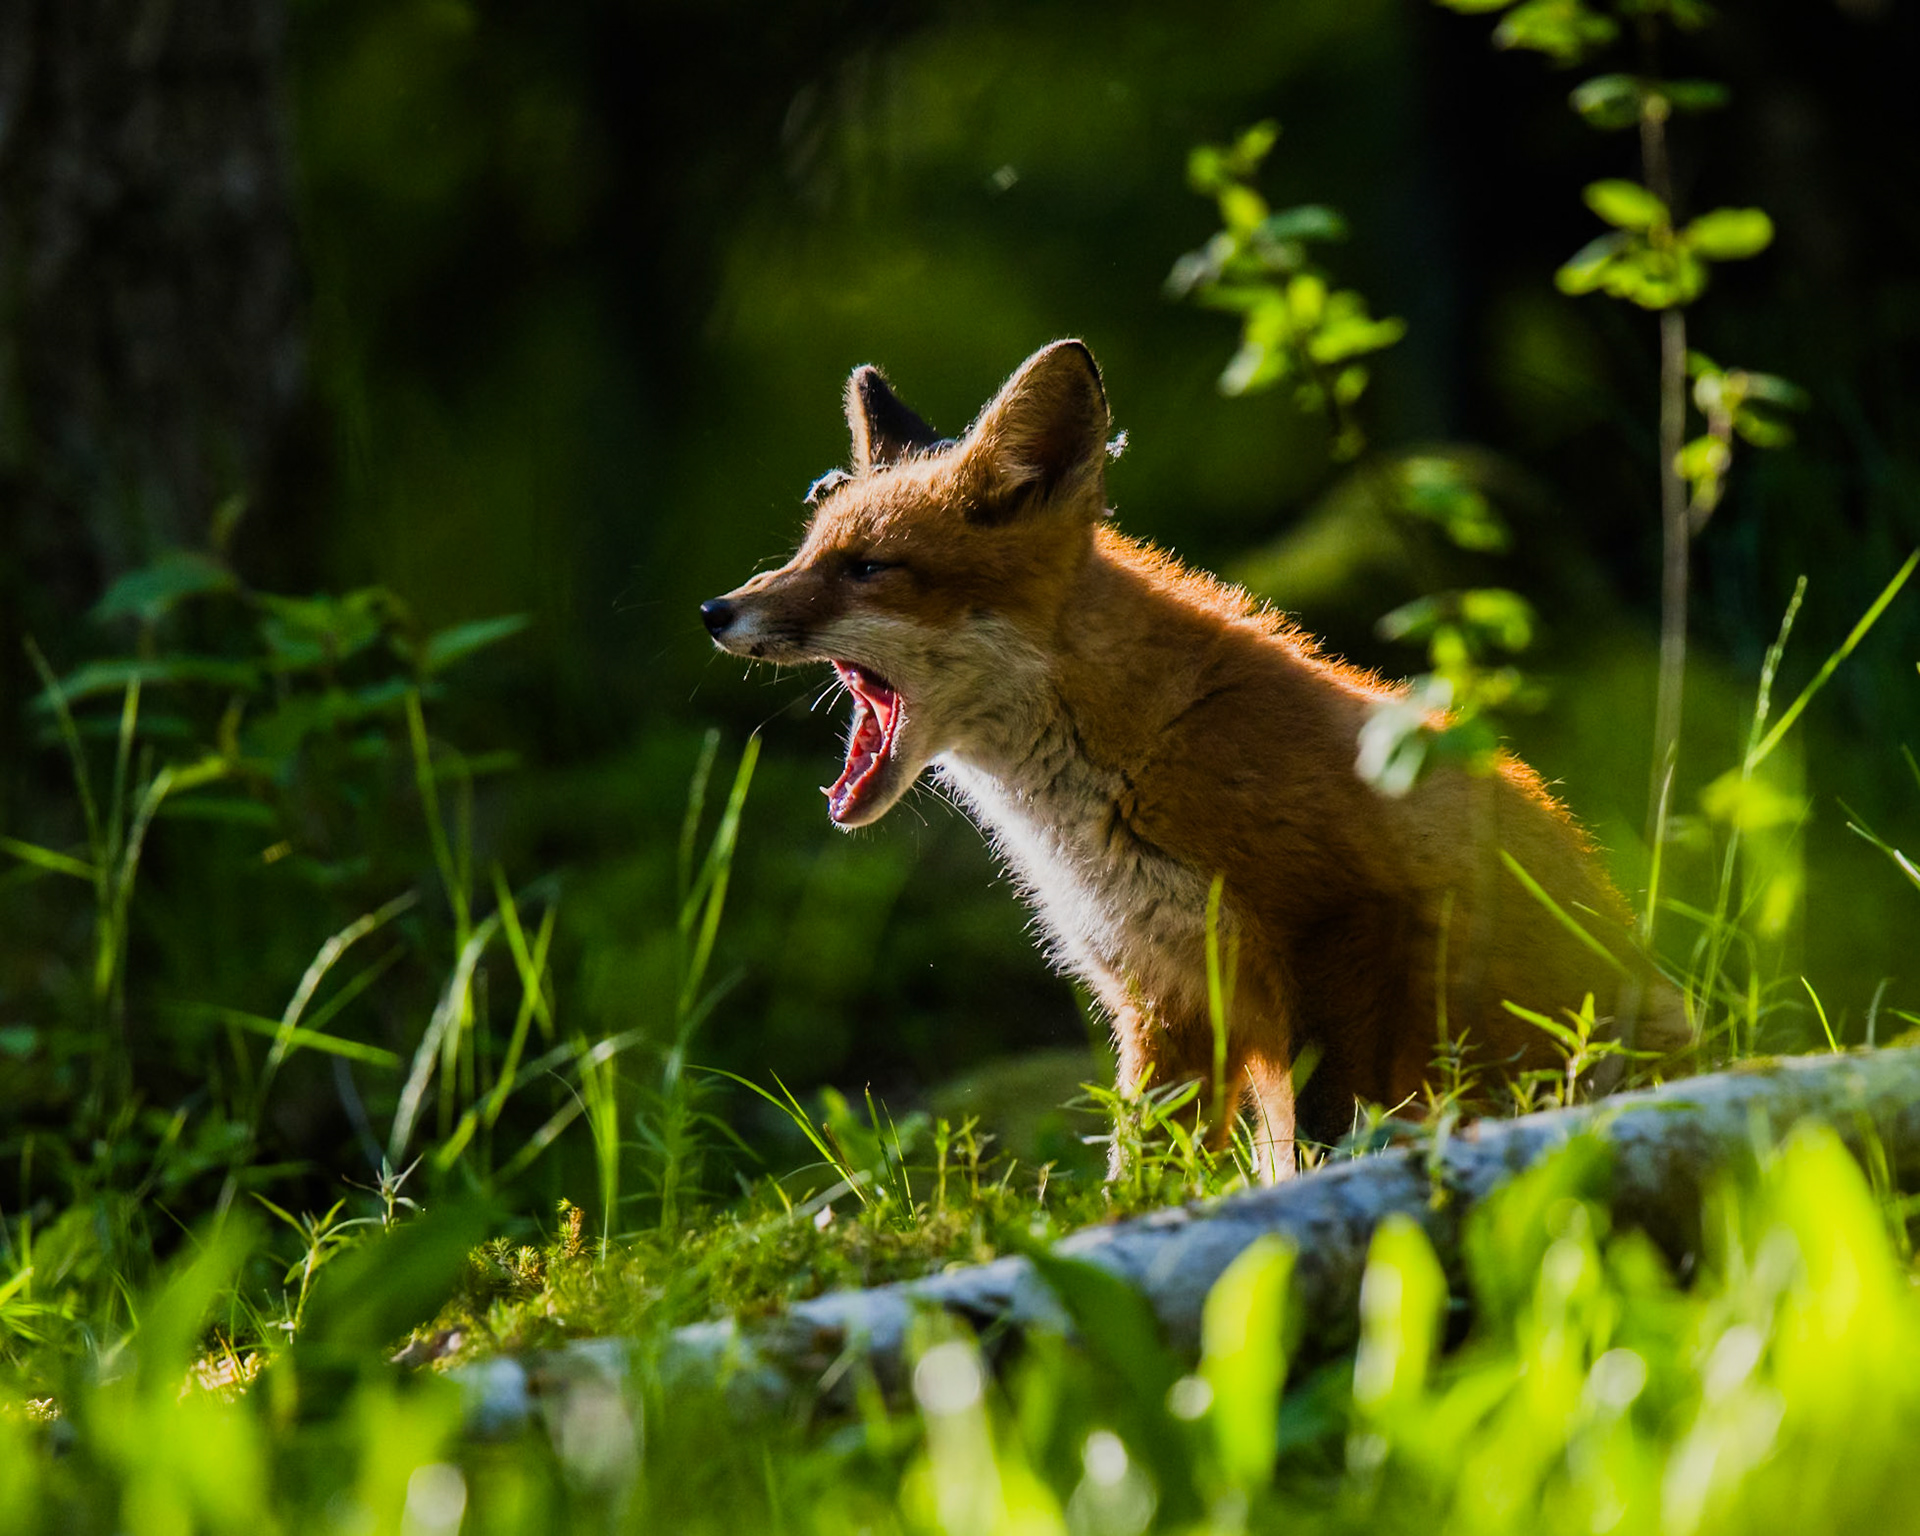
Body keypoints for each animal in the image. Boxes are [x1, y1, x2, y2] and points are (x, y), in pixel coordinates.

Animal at [702, 339, 1687, 1178]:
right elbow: (1141, 1169)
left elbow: (1325, 1139)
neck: (1127, 766)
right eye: (805, 554)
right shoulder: (1161, 998)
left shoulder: (1342, 922)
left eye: (868, 568)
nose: (715, 611)